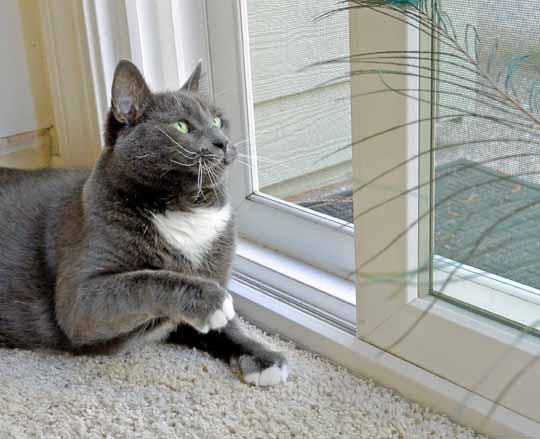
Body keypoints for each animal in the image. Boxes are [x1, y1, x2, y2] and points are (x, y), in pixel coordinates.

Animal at [0, 60, 288, 387]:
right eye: (181, 126)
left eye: (217, 120)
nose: (223, 142)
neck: (186, 207)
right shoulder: (79, 299)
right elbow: (143, 280)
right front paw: (211, 300)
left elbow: (225, 328)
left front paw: (263, 357)